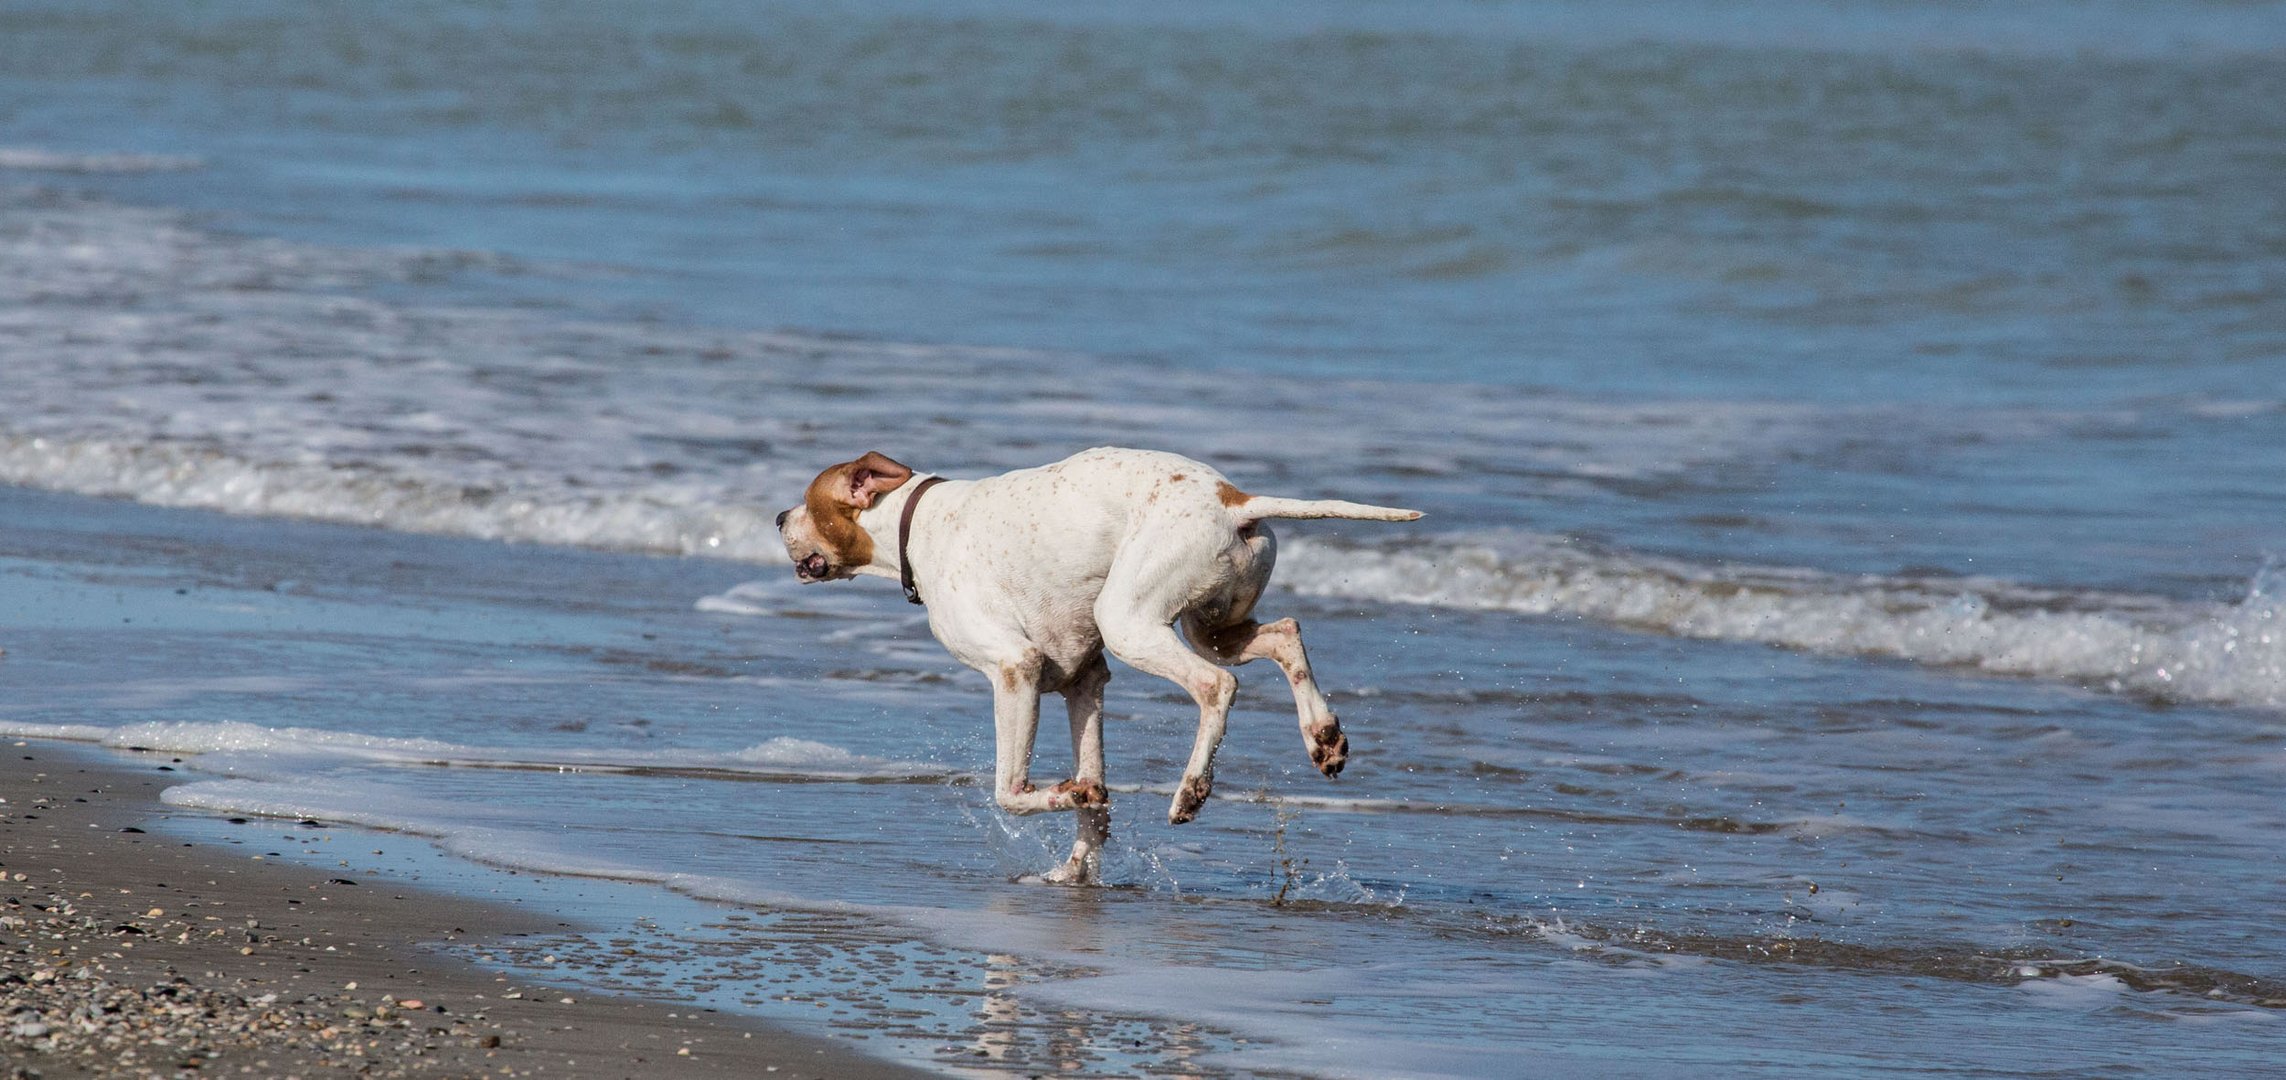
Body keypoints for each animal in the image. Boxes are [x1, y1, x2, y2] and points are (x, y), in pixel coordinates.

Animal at [777, 446, 1417, 887]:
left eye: (808, 501)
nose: (780, 517)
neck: (918, 524)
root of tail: (1233, 499)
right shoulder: (1082, 682)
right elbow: (1098, 801)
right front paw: (1074, 868)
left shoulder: (1014, 669)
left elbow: (1010, 792)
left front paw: (1069, 797)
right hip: (1209, 627)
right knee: (1284, 636)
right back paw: (1323, 737)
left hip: (1131, 621)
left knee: (1218, 684)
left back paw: (1192, 790)